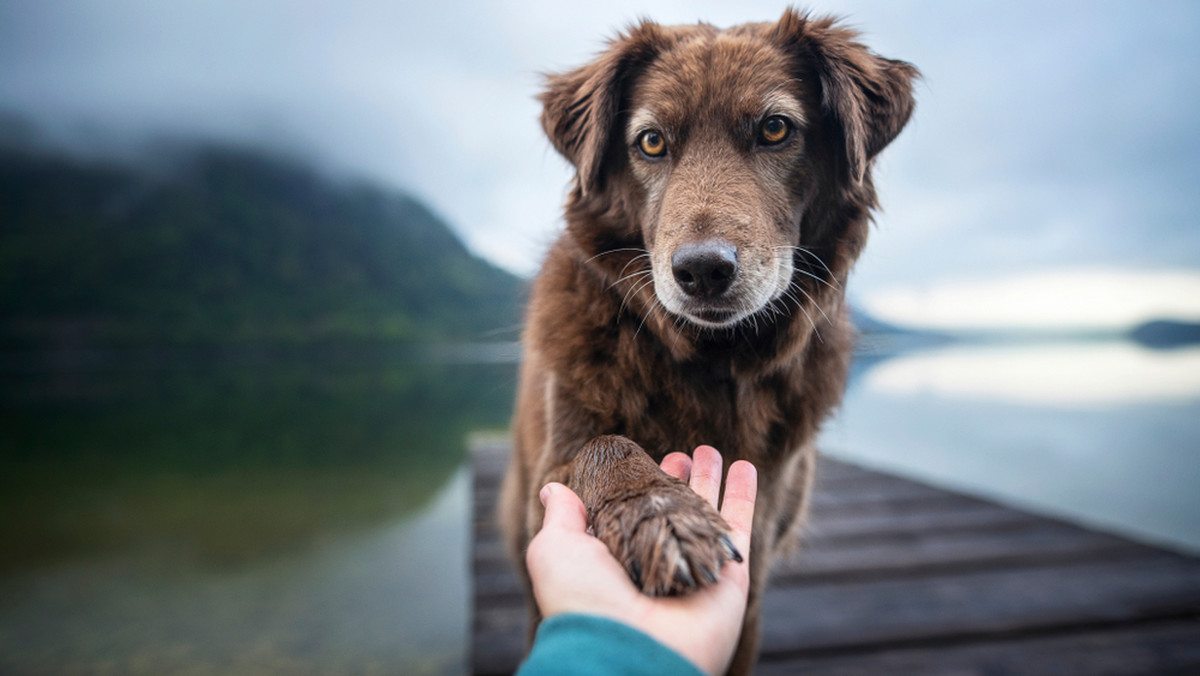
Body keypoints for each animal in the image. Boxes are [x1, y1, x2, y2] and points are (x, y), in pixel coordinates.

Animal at [496, 7, 916, 672]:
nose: (701, 271)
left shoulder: (759, 563)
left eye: (775, 128)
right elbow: (604, 447)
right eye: (650, 141)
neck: (711, 361)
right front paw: (660, 513)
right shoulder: (556, 463)